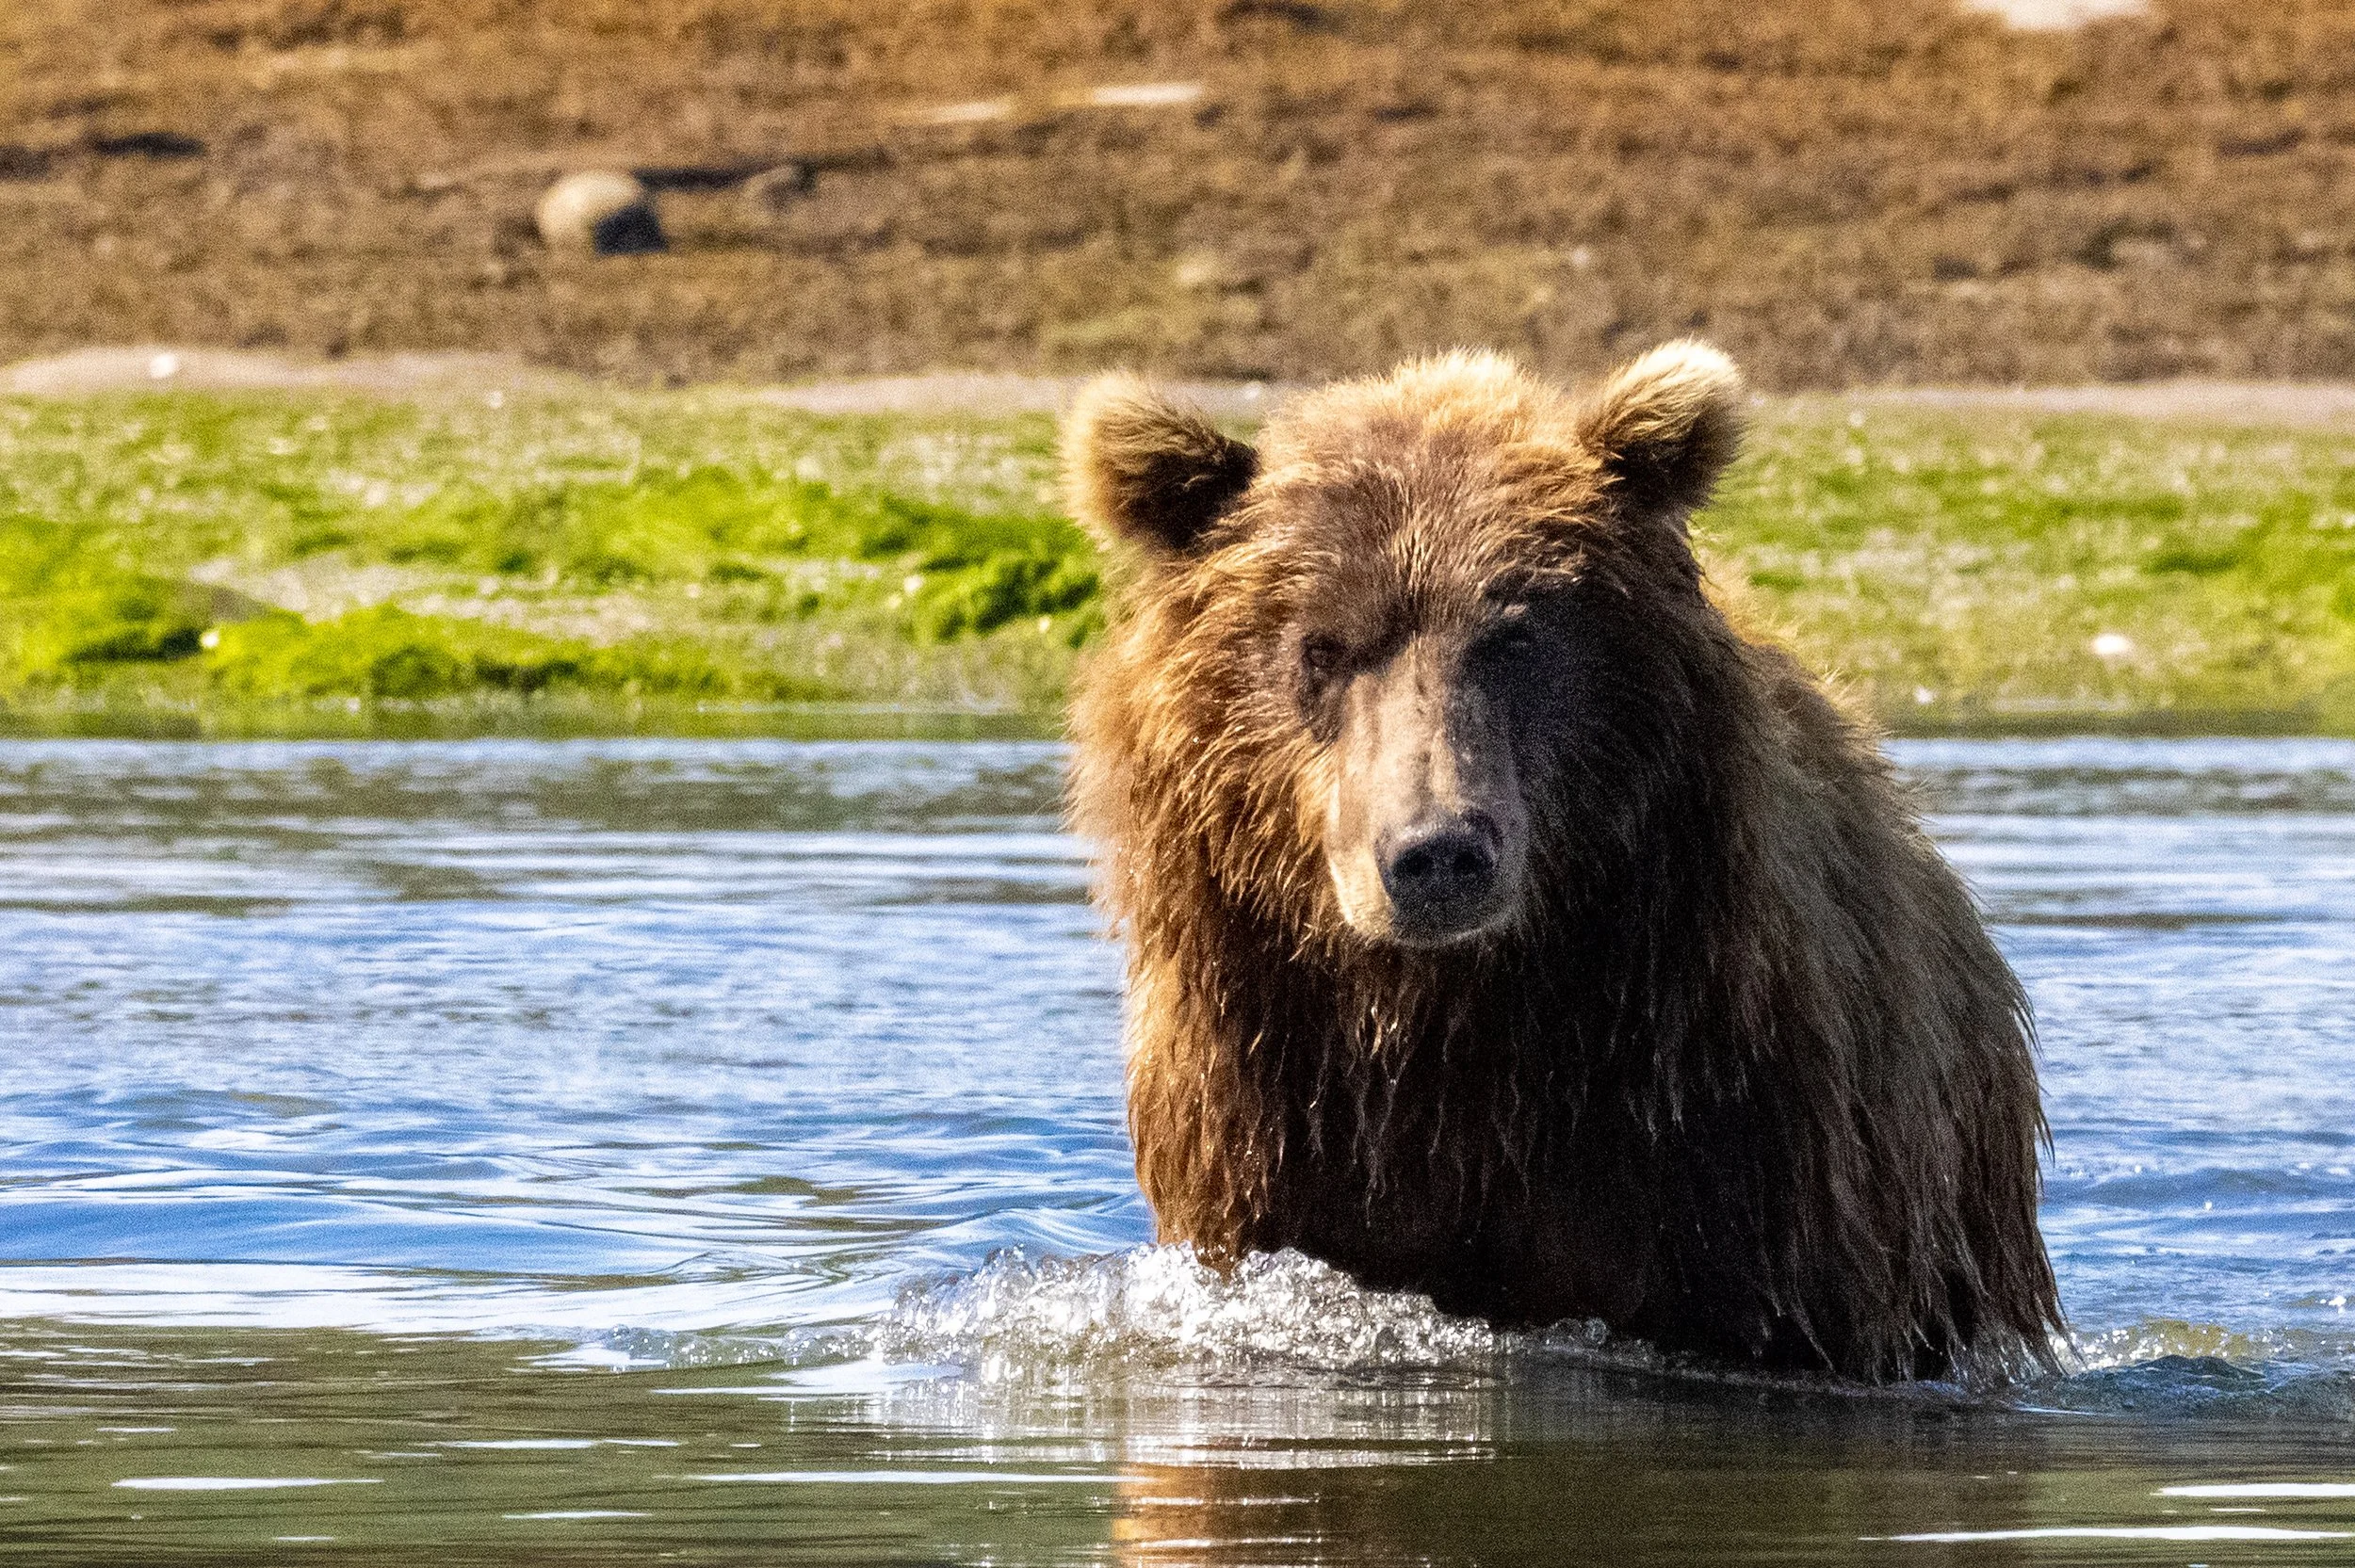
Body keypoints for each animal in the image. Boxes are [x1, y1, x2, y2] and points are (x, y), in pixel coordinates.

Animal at [1061, 343, 2064, 1383]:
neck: (1463, 1028)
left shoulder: (1729, 1141)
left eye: (1514, 635)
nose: (1437, 854)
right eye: (1322, 647)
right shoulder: (1268, 1126)